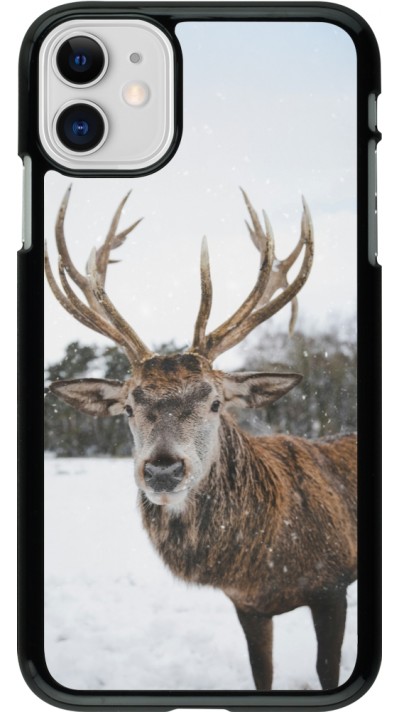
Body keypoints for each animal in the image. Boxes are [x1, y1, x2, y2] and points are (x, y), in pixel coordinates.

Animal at [45, 186, 357, 691]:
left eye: (215, 402)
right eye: (128, 407)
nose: (163, 469)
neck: (266, 563)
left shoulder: (333, 584)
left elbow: (328, 670)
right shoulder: (247, 605)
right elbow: (262, 674)